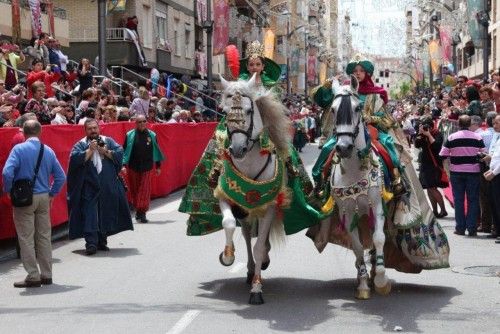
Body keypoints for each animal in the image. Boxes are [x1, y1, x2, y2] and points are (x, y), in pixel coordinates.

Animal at [215, 74, 290, 304]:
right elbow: (229, 223)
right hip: (245, 213)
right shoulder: (225, 197)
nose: (237, 149)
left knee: (259, 241)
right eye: (225, 111)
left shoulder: (269, 207)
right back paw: (248, 270)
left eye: (249, 111)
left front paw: (257, 290)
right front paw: (227, 256)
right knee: (247, 235)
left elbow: (259, 247)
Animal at [318, 76, 392, 300]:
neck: (353, 170)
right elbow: (357, 246)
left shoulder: (377, 205)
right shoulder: (347, 211)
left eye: (358, 108)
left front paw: (381, 280)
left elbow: (378, 239)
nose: (343, 147)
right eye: (333, 110)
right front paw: (363, 284)